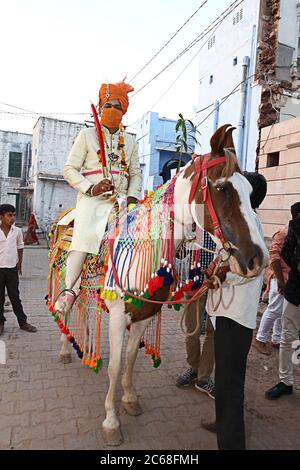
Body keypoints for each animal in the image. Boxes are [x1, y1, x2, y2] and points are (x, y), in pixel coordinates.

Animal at [51, 124, 268, 444]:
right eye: (222, 188)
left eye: (251, 192)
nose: (257, 259)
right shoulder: (118, 316)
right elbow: (115, 367)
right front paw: (111, 422)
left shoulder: (143, 314)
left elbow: (130, 359)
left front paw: (129, 400)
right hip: (69, 275)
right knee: (67, 306)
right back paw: (66, 349)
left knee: (83, 311)